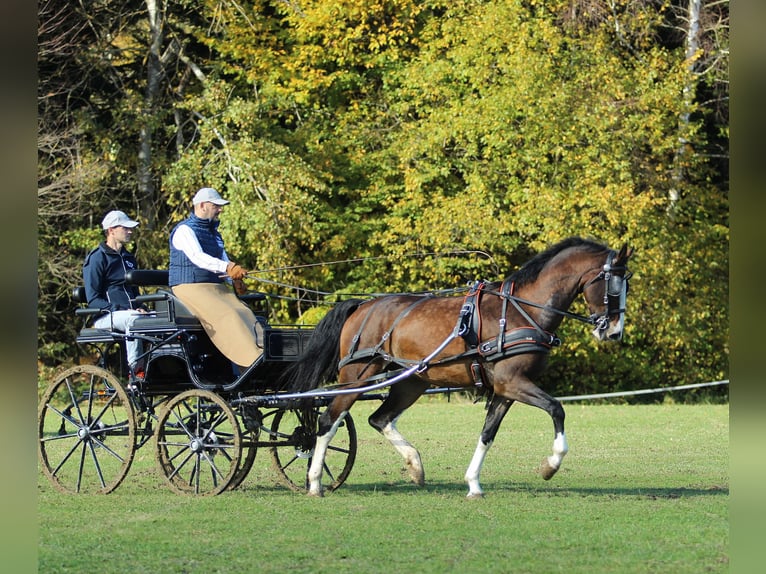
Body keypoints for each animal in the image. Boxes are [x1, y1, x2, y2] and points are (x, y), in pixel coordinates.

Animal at [280, 237, 633, 497]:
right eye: (613, 286)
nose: (614, 332)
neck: (520, 311)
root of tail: (363, 305)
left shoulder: (504, 390)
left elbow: (488, 433)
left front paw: (473, 483)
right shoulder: (512, 382)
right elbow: (557, 409)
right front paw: (551, 465)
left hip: (412, 382)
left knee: (379, 418)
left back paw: (415, 465)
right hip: (357, 377)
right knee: (329, 420)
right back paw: (315, 482)